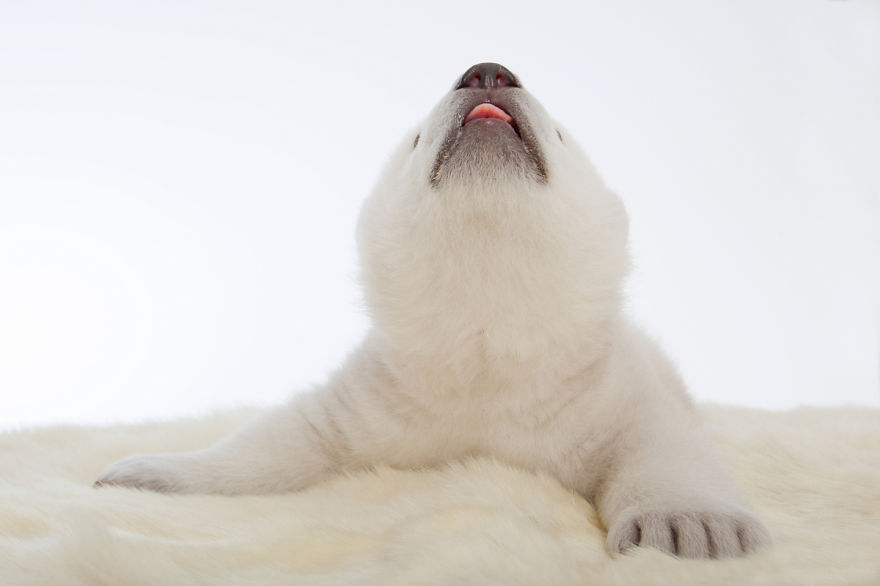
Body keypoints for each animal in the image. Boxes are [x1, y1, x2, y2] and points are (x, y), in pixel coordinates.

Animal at [97, 63, 771, 559]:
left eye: (561, 134)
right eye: (416, 139)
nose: (488, 72)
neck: (487, 347)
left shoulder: (606, 385)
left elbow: (662, 442)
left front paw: (690, 526)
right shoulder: (379, 396)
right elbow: (285, 438)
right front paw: (145, 474)